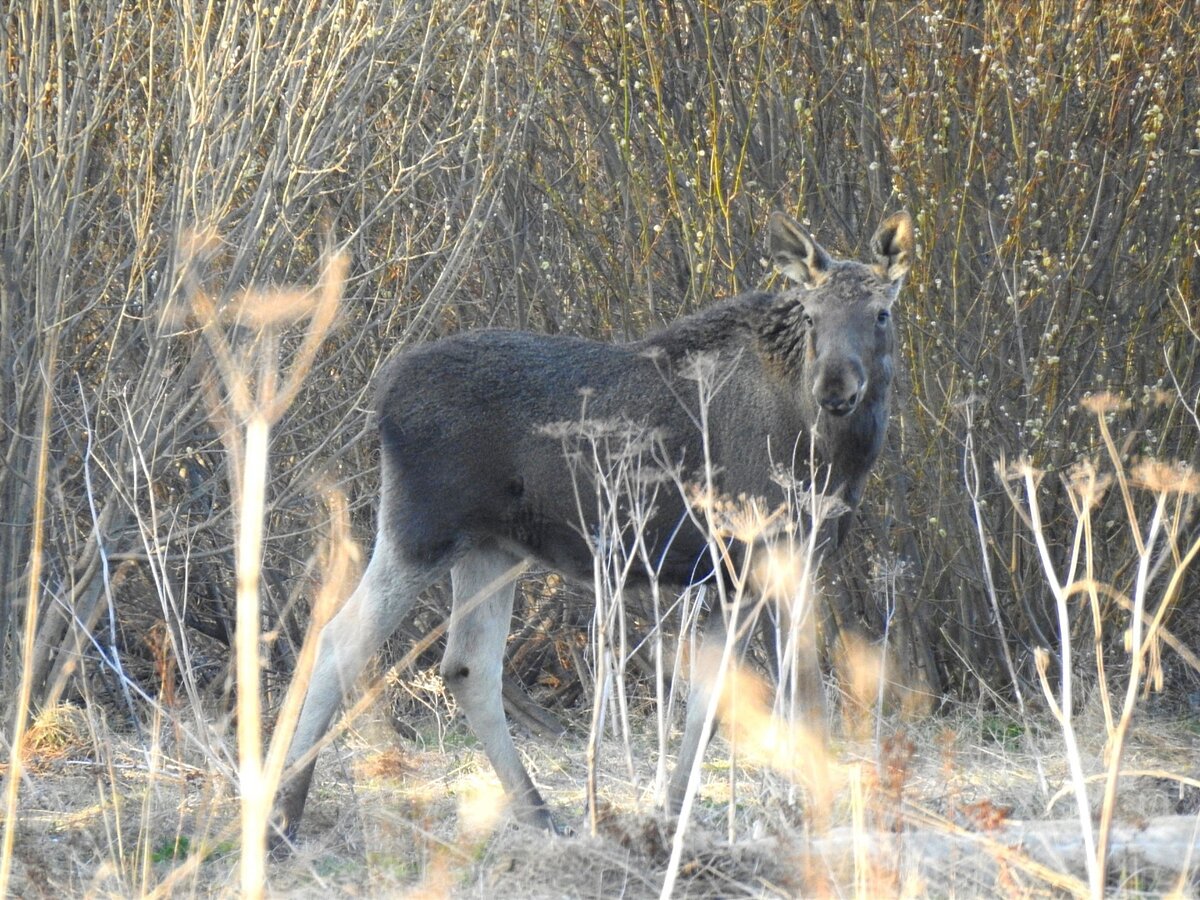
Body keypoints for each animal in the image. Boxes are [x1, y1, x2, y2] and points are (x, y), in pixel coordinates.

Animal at [270, 207, 907, 844]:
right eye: (812, 315)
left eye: (881, 313)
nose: (836, 390)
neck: (835, 457)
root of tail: (381, 396)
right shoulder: (766, 555)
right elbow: (802, 700)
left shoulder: (737, 576)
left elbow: (713, 703)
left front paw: (671, 812)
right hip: (421, 531)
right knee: (338, 640)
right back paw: (283, 814)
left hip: (491, 549)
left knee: (466, 666)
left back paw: (539, 813)